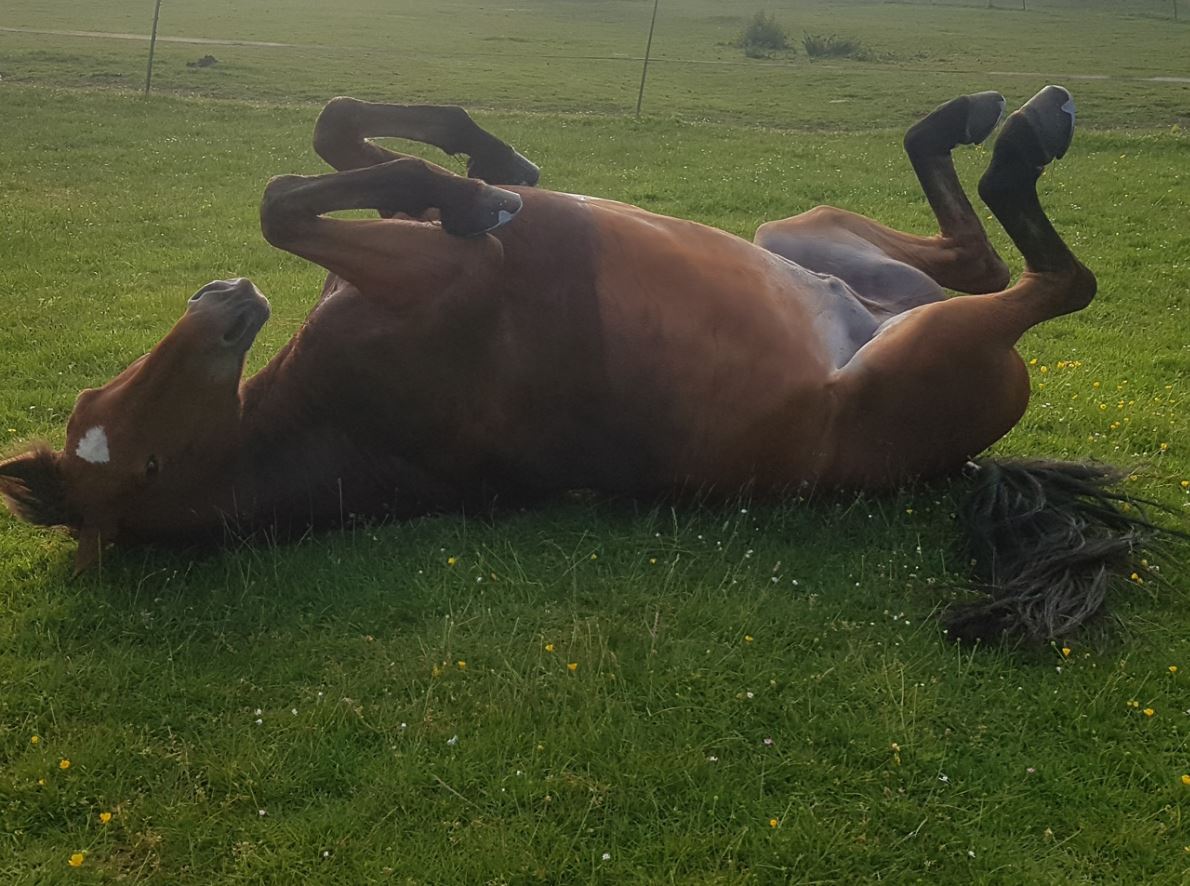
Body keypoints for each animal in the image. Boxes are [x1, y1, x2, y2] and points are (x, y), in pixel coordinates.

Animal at [0, 88, 1161, 637]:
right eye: (142, 462)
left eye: (96, 398)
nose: (226, 305)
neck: (341, 414)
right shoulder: (442, 273)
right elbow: (288, 198)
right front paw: (480, 190)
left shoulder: (401, 243)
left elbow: (337, 142)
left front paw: (491, 161)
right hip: (925, 344)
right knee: (1048, 282)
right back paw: (1021, 137)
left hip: (809, 235)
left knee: (974, 255)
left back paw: (964, 119)